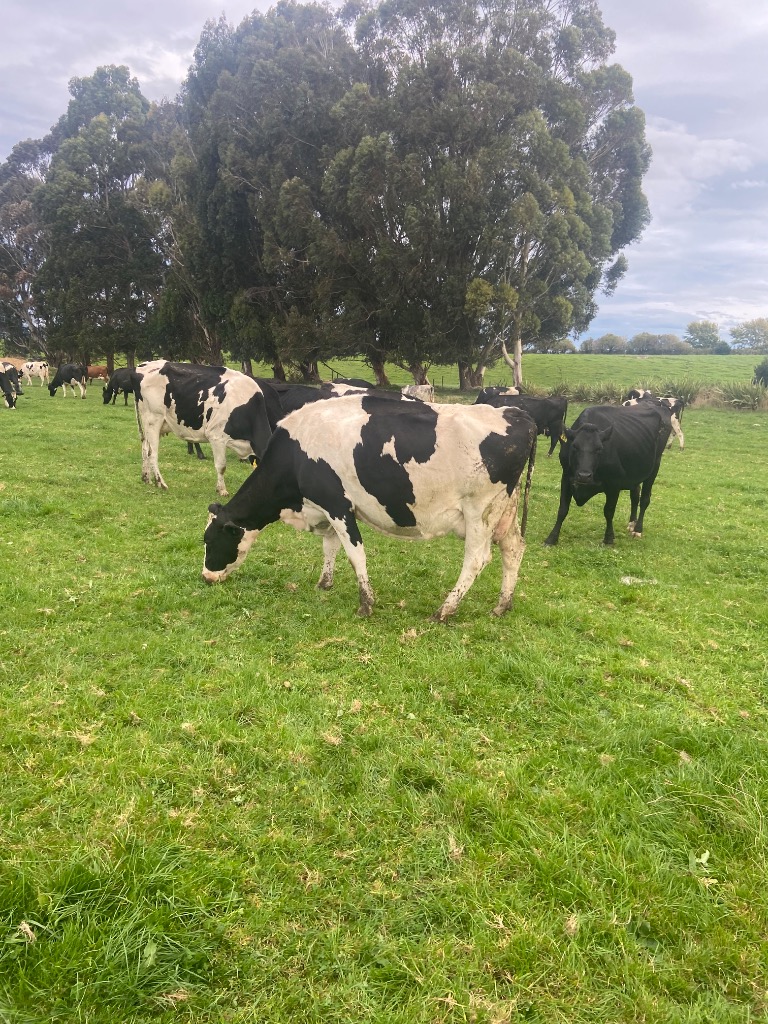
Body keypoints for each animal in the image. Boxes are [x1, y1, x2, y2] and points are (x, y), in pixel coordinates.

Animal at [133, 360, 274, 495]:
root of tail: (143, 365)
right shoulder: (216, 436)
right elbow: (221, 466)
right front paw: (222, 490)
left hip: (149, 424)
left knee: (145, 448)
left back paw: (146, 478)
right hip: (153, 419)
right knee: (152, 453)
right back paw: (161, 483)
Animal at [202, 395, 538, 621]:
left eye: (210, 540)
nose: (206, 577)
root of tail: (519, 414)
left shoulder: (337, 504)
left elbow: (355, 554)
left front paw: (365, 603)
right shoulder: (326, 508)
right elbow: (330, 547)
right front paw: (324, 583)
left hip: (480, 511)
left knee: (476, 559)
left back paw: (445, 610)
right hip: (504, 512)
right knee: (513, 549)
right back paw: (502, 605)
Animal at [544, 403, 672, 547]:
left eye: (599, 449)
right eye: (575, 446)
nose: (584, 475)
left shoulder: (614, 484)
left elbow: (609, 511)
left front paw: (609, 538)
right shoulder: (566, 477)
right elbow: (562, 509)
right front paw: (552, 538)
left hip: (655, 466)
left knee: (644, 499)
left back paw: (638, 529)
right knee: (635, 495)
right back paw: (631, 523)